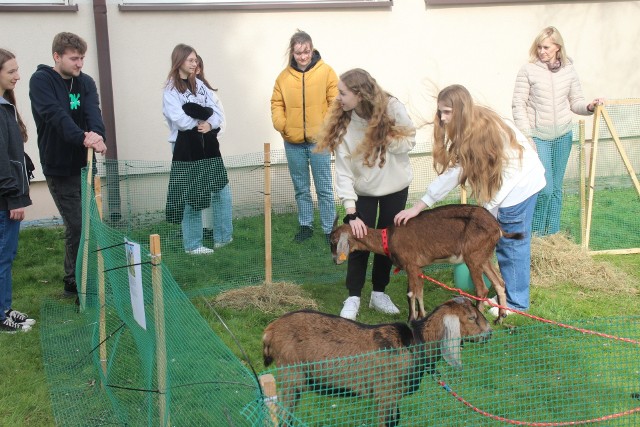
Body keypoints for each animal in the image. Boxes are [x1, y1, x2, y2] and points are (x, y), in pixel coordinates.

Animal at [262, 298, 492, 427]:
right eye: (472, 318)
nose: (489, 333)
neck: (415, 343)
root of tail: (270, 330)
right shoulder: (386, 395)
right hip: (291, 375)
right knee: (283, 414)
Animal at [328, 204, 524, 320]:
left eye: (334, 241)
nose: (335, 260)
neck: (388, 238)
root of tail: (497, 227)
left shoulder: (410, 265)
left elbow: (410, 293)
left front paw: (411, 320)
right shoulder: (418, 268)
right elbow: (419, 292)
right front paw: (422, 316)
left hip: (473, 257)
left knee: (482, 289)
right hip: (484, 257)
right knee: (499, 282)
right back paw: (501, 317)